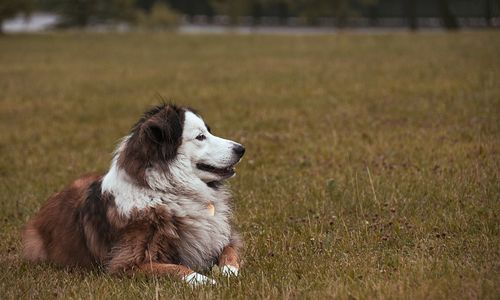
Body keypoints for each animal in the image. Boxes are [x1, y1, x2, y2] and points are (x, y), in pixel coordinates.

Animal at [21, 104, 244, 284]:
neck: (164, 190)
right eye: (200, 136)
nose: (242, 148)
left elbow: (229, 252)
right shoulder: (127, 264)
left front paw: (229, 273)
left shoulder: (221, 238)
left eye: (208, 132)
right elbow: (176, 268)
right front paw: (206, 281)